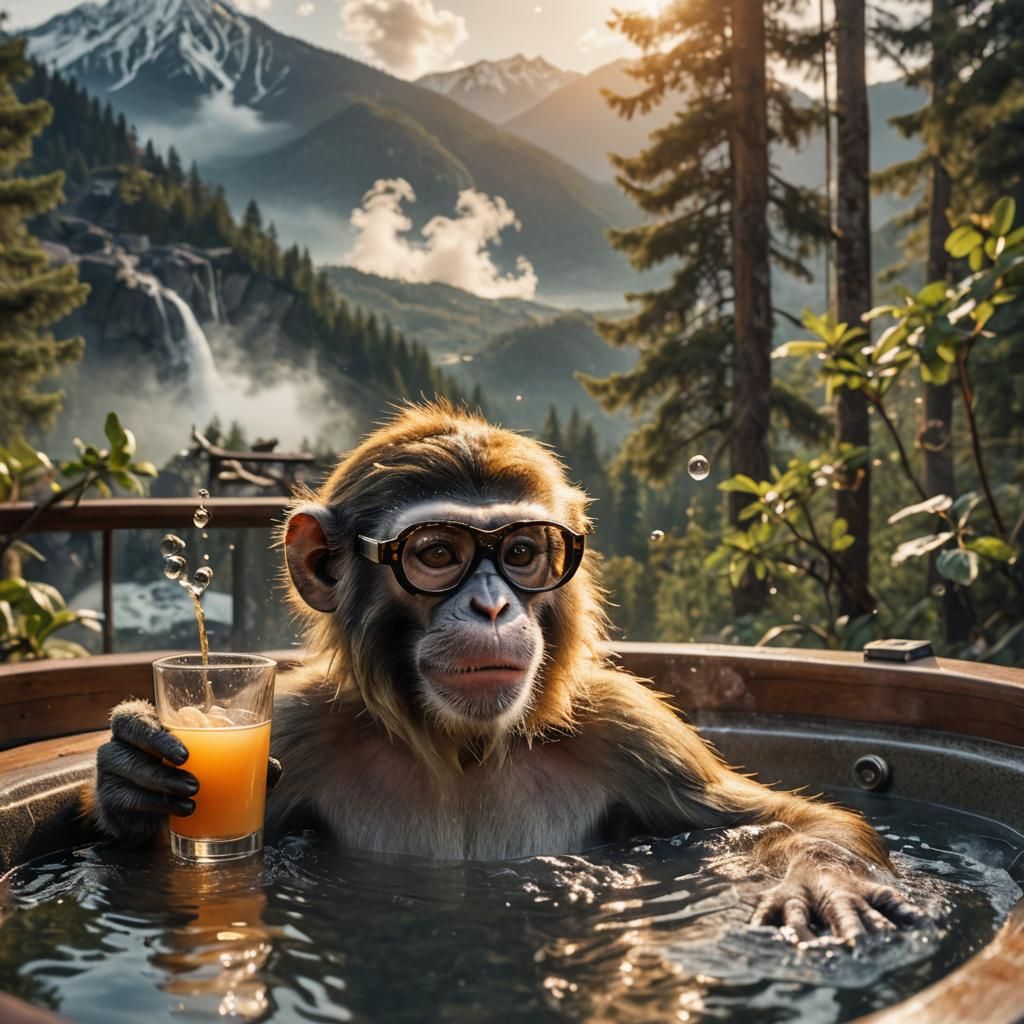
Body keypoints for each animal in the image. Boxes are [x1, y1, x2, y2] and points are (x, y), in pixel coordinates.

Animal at [89, 401, 924, 943]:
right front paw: (132, 779)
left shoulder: (629, 728)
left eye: (523, 552)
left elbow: (782, 818)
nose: (492, 604)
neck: (461, 746)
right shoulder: (298, 725)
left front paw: (821, 877)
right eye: (437, 553)